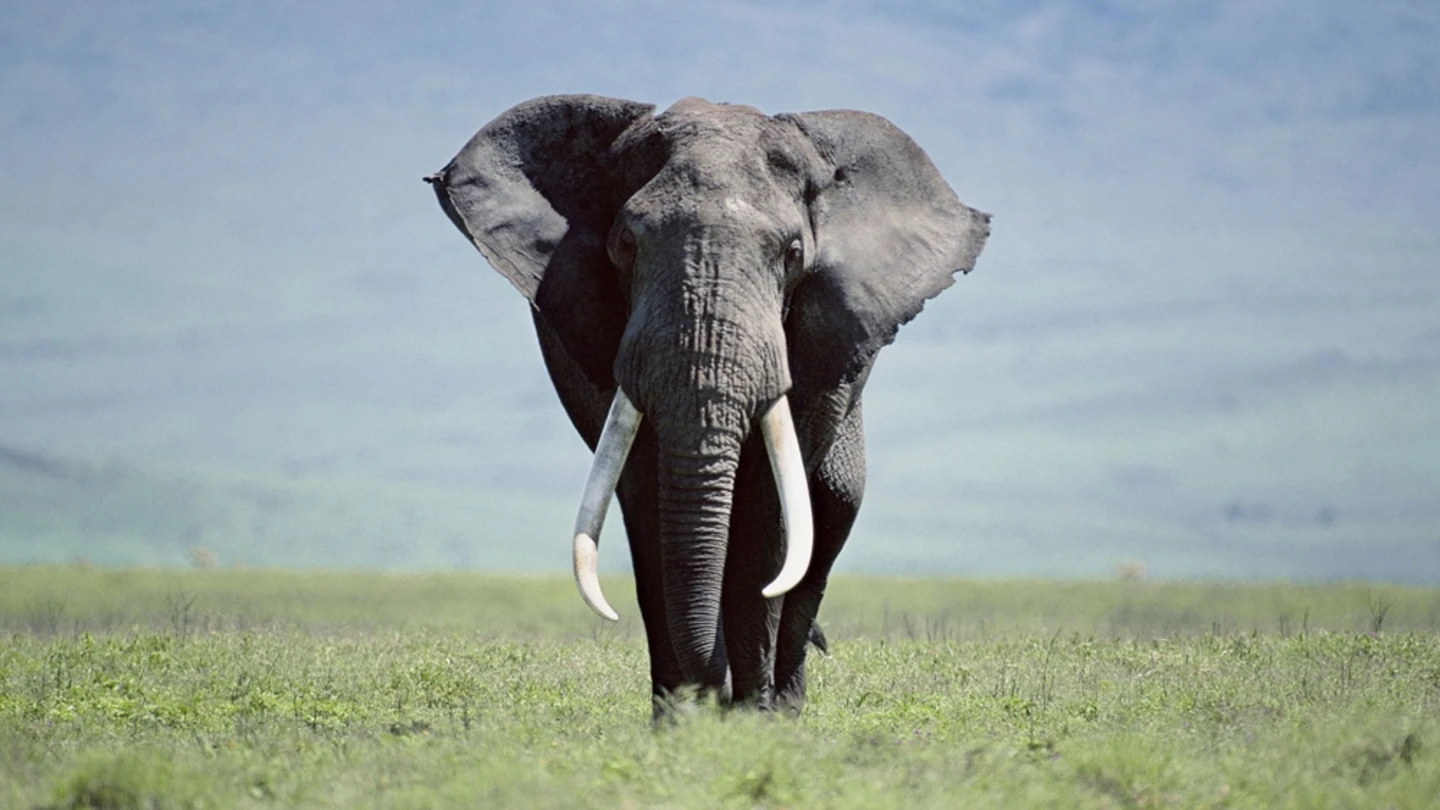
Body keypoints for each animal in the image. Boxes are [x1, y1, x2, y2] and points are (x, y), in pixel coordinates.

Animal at [426, 94, 989, 715]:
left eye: (792, 253)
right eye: (625, 246)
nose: (714, 695)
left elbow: (769, 506)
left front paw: (752, 718)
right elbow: (646, 494)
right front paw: (681, 718)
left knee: (835, 506)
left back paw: (785, 705)